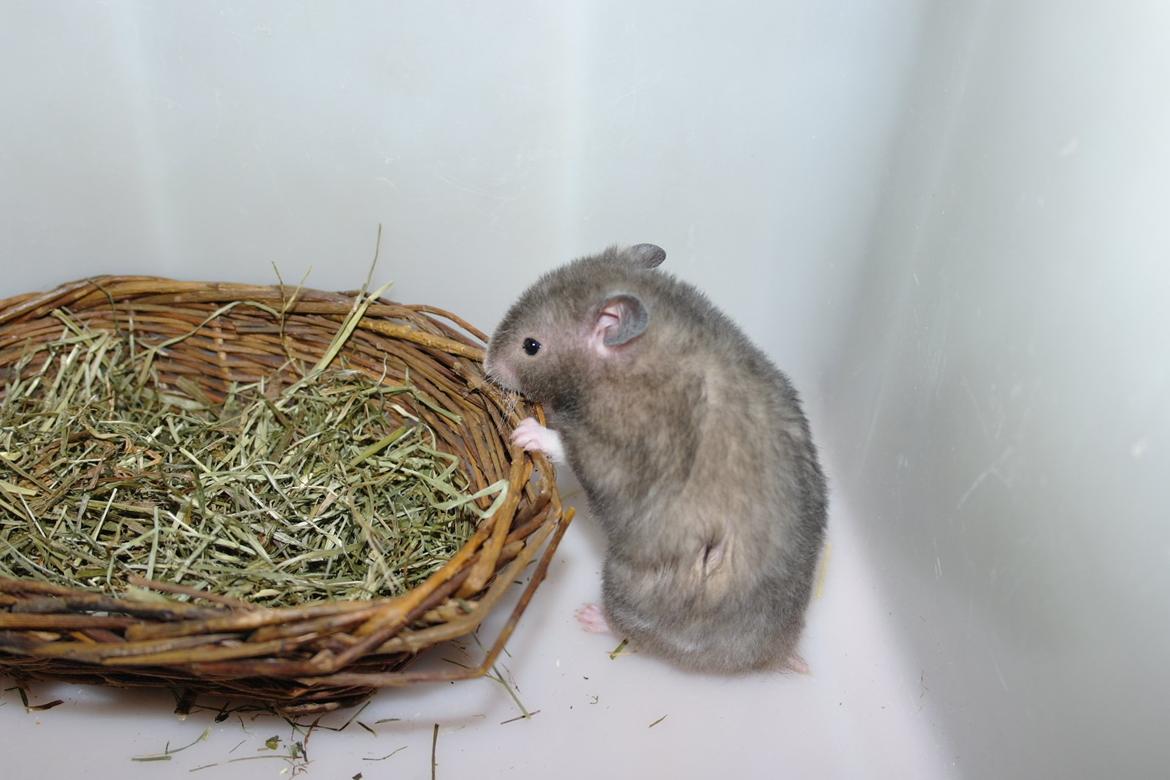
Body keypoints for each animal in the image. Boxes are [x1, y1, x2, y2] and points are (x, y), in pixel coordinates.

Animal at [484, 243, 827, 673]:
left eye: (531, 346)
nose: (485, 365)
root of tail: (774, 651)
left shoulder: (621, 452)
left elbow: (570, 444)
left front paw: (526, 432)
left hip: (628, 588)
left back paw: (589, 617)